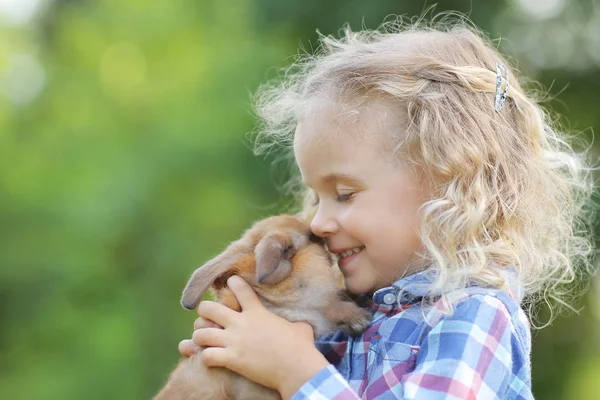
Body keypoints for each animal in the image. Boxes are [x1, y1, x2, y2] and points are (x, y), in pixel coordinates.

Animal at [152, 214, 372, 398]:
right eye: (312, 239)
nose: (321, 236)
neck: (270, 304)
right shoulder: (307, 309)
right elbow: (328, 305)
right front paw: (359, 316)